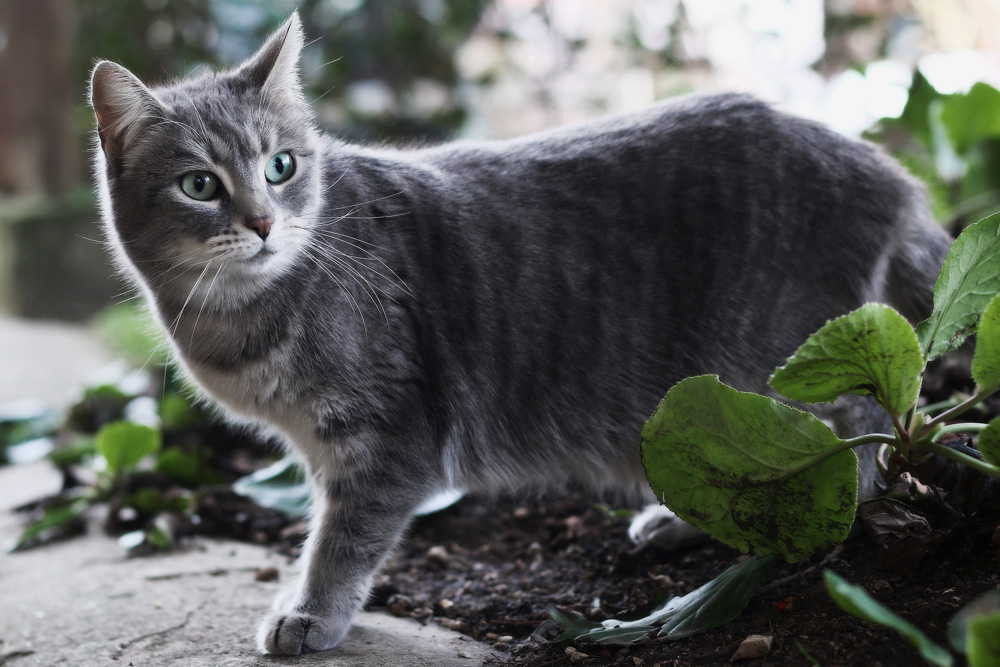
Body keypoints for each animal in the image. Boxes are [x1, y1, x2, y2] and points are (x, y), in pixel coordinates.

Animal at [90, 11, 948, 656]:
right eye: (199, 185)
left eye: (281, 166)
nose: (265, 223)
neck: (240, 319)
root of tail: (887, 173)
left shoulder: (390, 436)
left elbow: (342, 538)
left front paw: (310, 612)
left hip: (785, 362)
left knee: (854, 438)